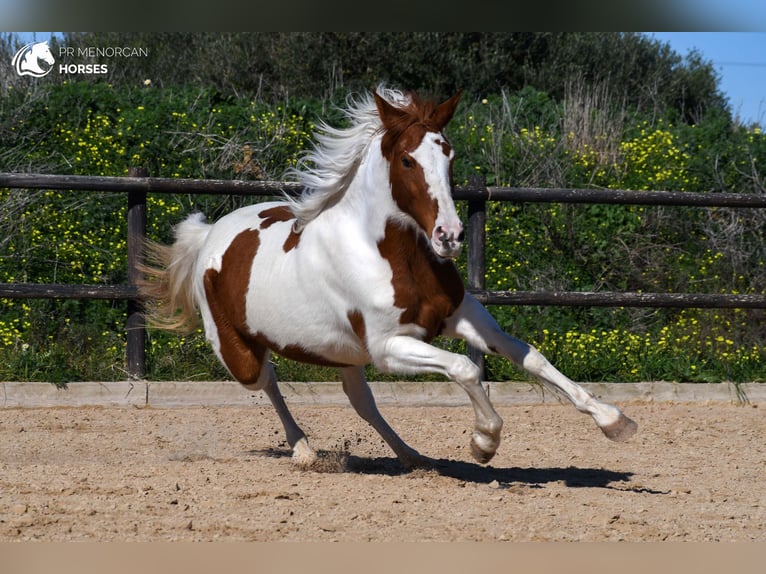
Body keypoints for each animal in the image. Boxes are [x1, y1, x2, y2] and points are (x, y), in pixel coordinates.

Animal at [141, 86, 640, 472]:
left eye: (449, 155)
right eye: (406, 161)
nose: (450, 236)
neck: (391, 256)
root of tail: (209, 236)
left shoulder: (463, 315)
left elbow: (529, 357)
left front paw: (614, 420)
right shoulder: (388, 347)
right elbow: (463, 369)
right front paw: (484, 442)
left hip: (343, 352)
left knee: (360, 400)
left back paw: (412, 456)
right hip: (238, 351)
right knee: (268, 383)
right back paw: (304, 451)